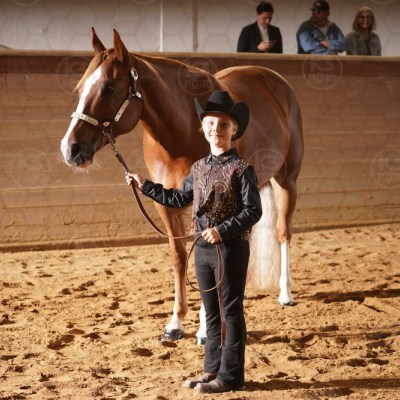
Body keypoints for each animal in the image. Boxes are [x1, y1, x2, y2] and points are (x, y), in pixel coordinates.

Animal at [60, 28, 304, 343]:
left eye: (108, 89)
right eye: (80, 89)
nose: (70, 149)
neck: (181, 131)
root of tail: (276, 82)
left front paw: (203, 328)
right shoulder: (166, 204)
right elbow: (179, 258)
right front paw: (175, 322)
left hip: (287, 179)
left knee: (282, 232)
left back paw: (286, 293)